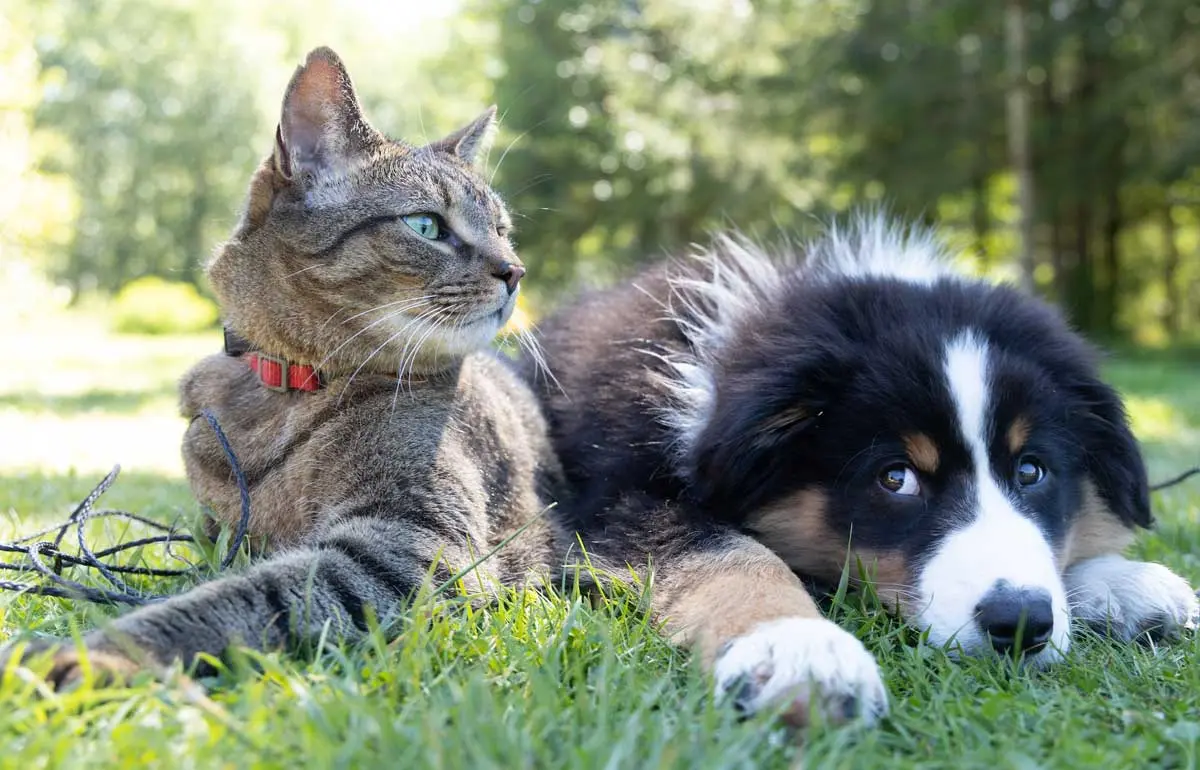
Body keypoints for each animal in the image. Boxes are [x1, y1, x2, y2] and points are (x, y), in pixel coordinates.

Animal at [5, 46, 566, 681]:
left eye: (502, 230)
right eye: (426, 225)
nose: (515, 270)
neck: (286, 389)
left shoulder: (415, 547)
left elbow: (243, 597)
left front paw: (102, 652)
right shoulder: (221, 531)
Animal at [528, 213, 1200, 724]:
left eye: (1032, 471)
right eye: (896, 478)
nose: (1019, 624)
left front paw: (1122, 583)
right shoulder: (617, 497)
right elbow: (729, 553)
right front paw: (799, 649)